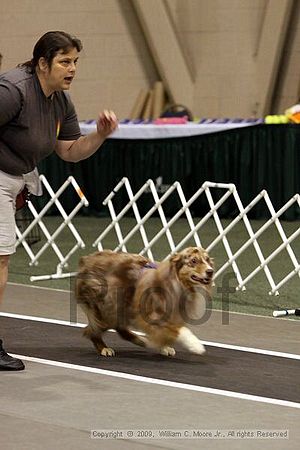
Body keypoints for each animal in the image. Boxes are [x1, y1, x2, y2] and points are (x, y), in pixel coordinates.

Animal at [76, 248, 214, 356]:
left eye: (207, 260)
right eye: (193, 261)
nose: (210, 271)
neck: (177, 281)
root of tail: (86, 260)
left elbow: (165, 332)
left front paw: (164, 347)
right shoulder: (151, 314)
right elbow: (178, 329)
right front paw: (195, 345)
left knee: (119, 328)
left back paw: (141, 341)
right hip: (108, 306)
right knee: (93, 330)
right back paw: (104, 348)